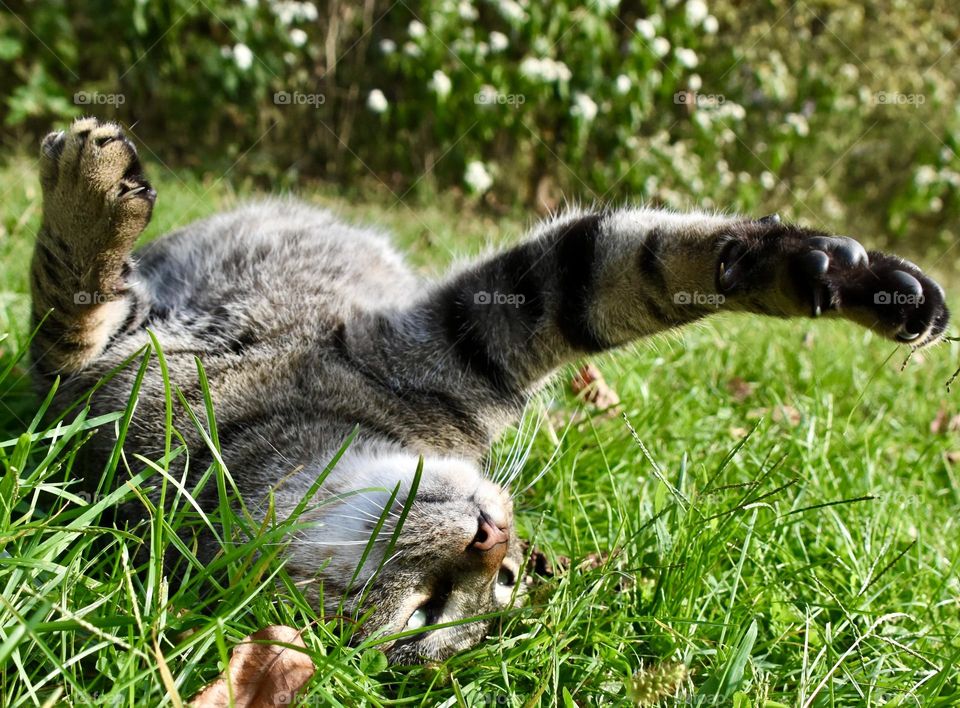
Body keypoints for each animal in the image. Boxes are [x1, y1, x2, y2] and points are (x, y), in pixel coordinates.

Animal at [30, 117, 952, 664]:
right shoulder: (74, 394)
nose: (494, 539)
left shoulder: (470, 341)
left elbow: (634, 262)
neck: (269, 418)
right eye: (429, 607)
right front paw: (89, 203)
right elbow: (70, 303)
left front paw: (839, 277)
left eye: (484, 593)